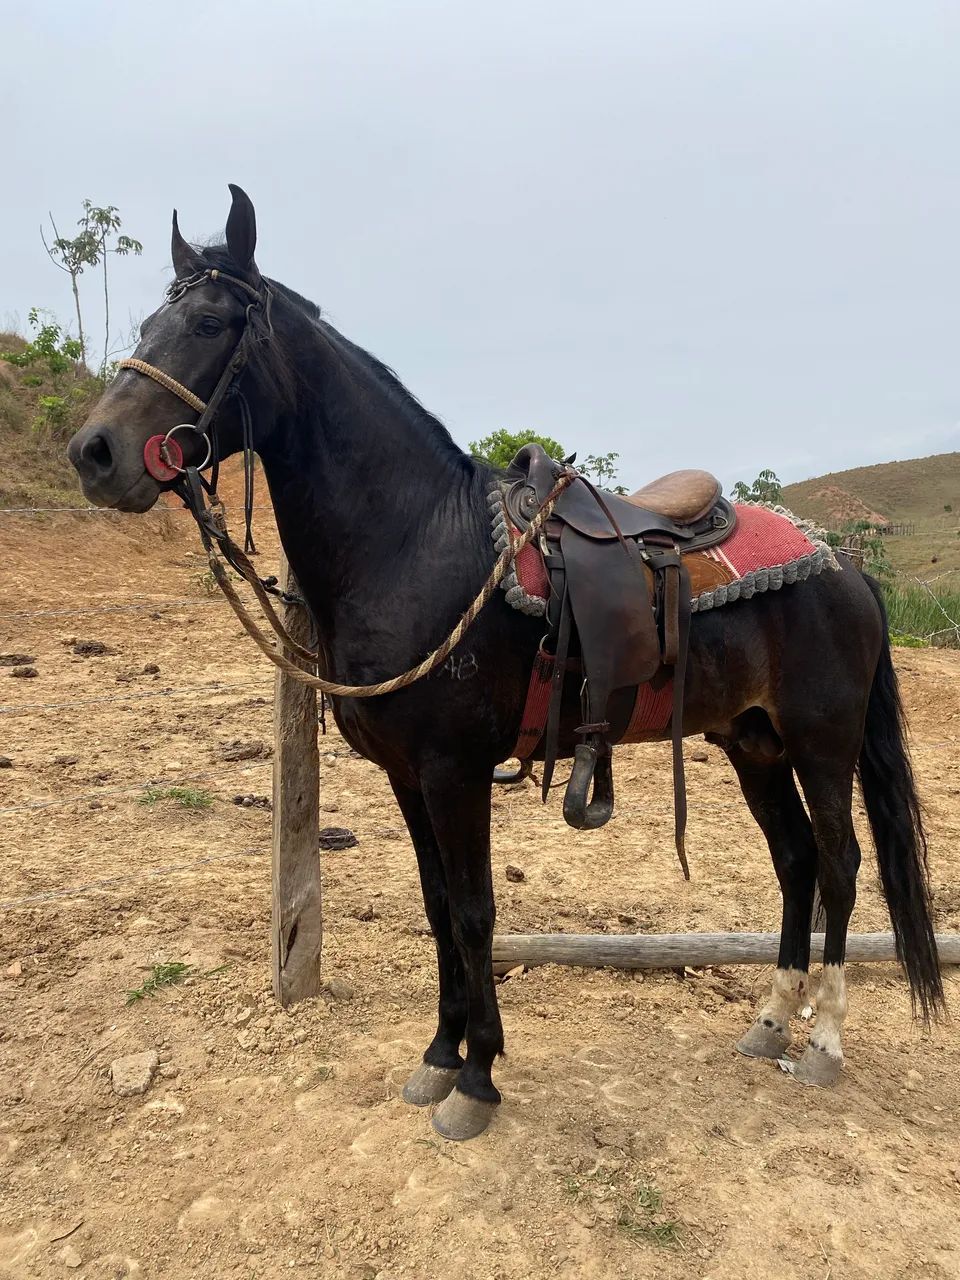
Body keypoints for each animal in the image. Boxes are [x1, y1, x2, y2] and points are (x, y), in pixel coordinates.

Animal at [67, 185, 943, 1142]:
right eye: (149, 322)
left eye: (210, 321)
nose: (94, 453)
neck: (414, 542)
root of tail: (843, 562)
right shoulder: (407, 776)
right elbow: (437, 907)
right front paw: (438, 1055)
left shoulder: (455, 771)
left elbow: (476, 912)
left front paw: (478, 1077)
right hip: (752, 744)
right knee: (793, 860)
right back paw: (771, 1020)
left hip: (822, 743)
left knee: (840, 864)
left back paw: (821, 1043)